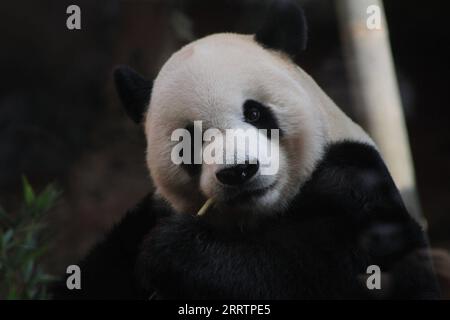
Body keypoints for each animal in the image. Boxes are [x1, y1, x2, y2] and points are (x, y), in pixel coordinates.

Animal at [52, 0, 440, 300]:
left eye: (254, 112)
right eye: (189, 140)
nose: (238, 171)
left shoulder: (356, 181)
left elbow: (337, 270)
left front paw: (175, 253)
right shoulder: (144, 218)